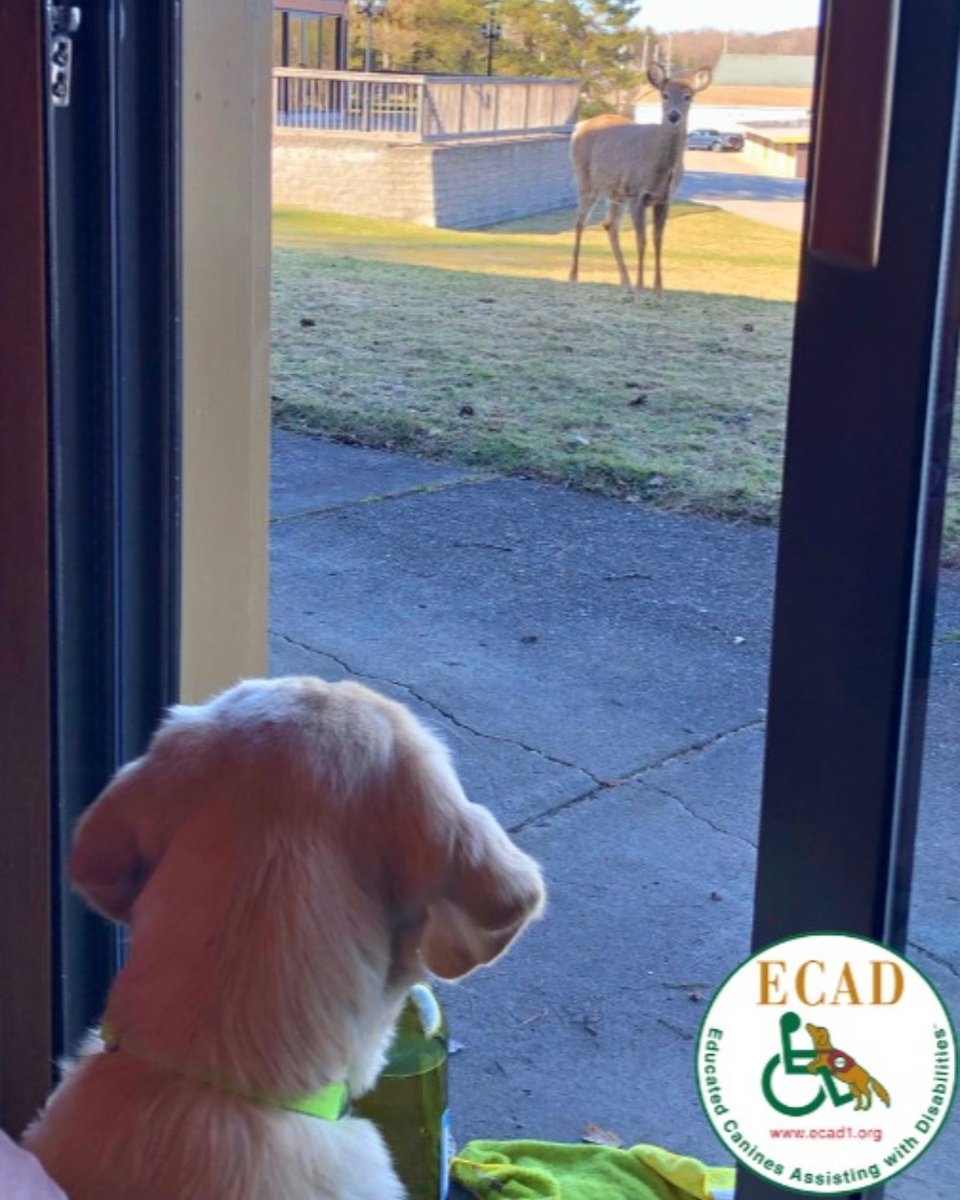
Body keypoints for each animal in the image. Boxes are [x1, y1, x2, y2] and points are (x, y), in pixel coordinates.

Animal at [571, 63, 710, 297]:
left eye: (688, 96)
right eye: (664, 94)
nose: (673, 115)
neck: (659, 171)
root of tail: (580, 127)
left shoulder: (664, 198)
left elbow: (658, 240)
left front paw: (659, 290)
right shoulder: (636, 193)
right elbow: (641, 240)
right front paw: (640, 288)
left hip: (616, 193)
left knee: (609, 224)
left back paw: (624, 282)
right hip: (586, 179)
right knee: (580, 221)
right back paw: (574, 276)